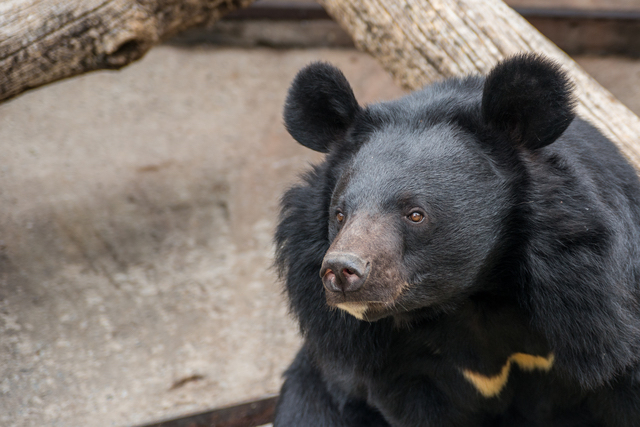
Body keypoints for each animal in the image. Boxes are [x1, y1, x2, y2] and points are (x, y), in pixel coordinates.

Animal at [272, 54, 640, 427]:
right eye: (339, 214)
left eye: (415, 214)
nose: (341, 270)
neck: (477, 296)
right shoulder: (400, 367)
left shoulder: (590, 308)